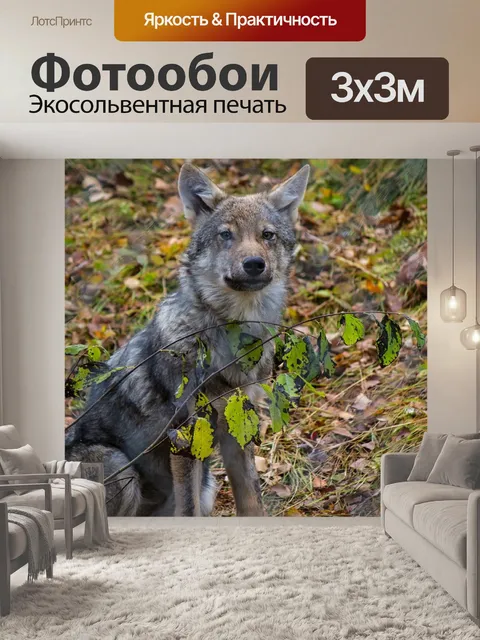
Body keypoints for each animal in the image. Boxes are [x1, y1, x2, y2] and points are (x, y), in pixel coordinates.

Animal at [66, 163, 310, 517]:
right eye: (226, 235)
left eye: (267, 235)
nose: (254, 264)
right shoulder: (186, 436)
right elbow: (189, 509)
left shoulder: (238, 426)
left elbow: (252, 501)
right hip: (119, 466)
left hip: (207, 484)